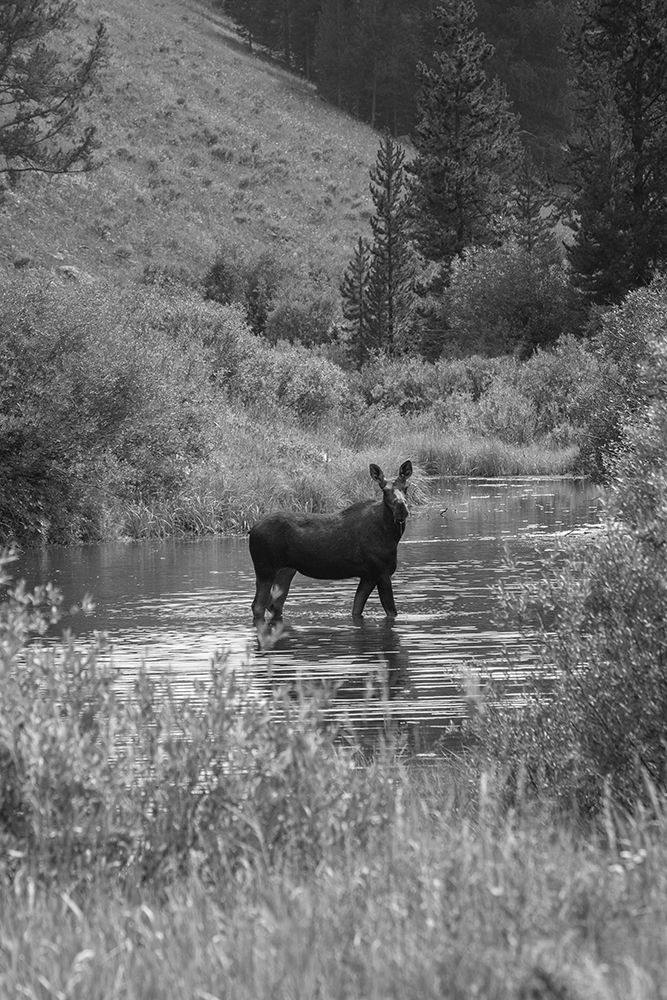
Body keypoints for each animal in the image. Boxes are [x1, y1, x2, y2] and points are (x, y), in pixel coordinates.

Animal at [249, 460, 413, 621]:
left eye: (406, 487)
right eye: (384, 490)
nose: (401, 509)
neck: (391, 535)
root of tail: (251, 529)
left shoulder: (368, 576)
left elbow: (356, 609)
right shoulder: (382, 572)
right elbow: (392, 612)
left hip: (286, 570)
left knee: (274, 605)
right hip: (265, 569)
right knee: (258, 605)